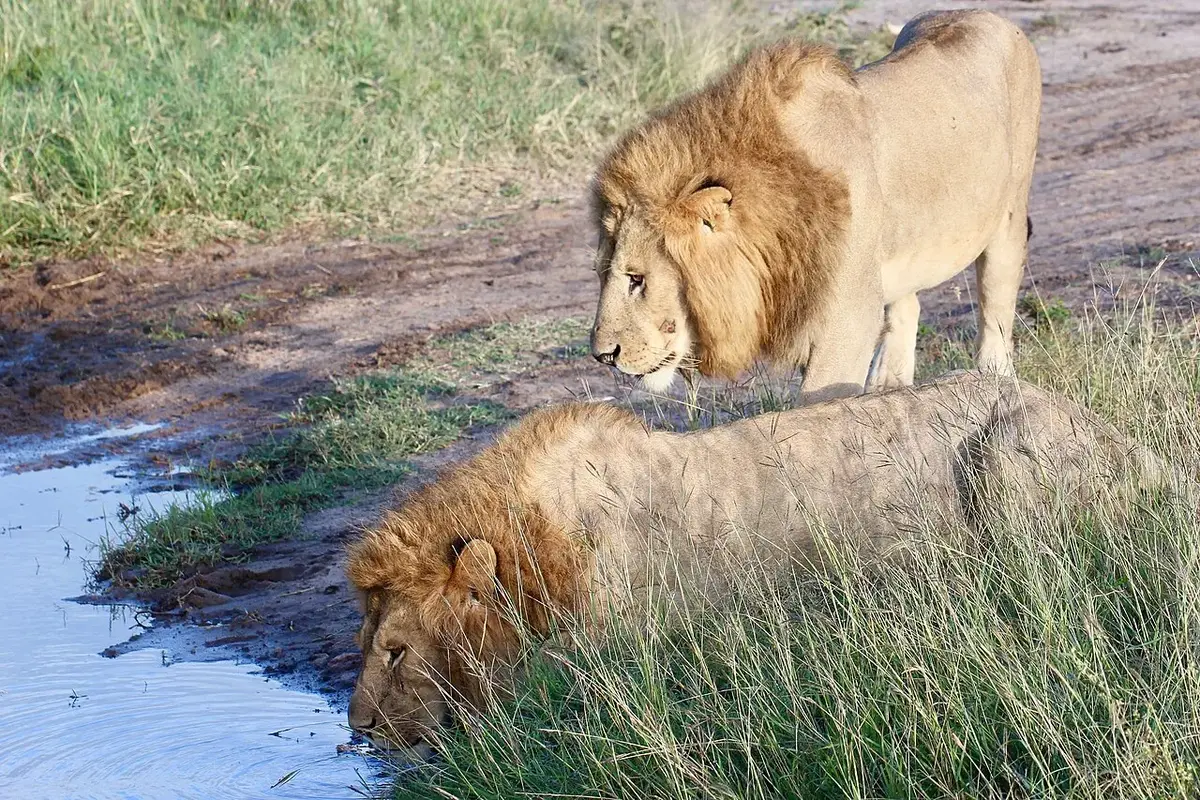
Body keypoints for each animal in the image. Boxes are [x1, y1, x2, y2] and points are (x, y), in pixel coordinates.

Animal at [345, 373, 1161, 750]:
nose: (356, 731)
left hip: (1007, 456)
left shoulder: (608, 663)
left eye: (396, 649)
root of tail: (1138, 447)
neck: (540, 553)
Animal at [589, 10, 1041, 402]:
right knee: (907, 304)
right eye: (604, 274)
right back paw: (887, 386)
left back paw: (992, 378)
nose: (603, 356)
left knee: (995, 307)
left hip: (1009, 216)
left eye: (636, 279)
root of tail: (985, 14)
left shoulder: (848, 317)